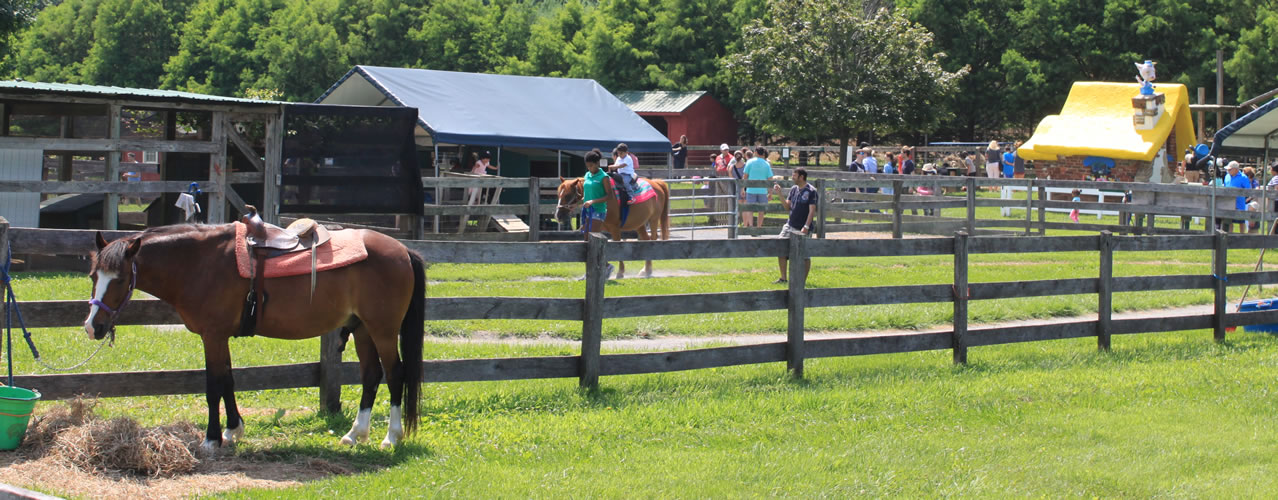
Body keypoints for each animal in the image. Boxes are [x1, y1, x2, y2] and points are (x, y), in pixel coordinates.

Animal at [83, 225, 424, 452]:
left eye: (120, 279)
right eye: (93, 275)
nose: (92, 327)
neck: (199, 262)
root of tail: (402, 250)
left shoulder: (212, 336)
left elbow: (213, 386)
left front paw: (212, 439)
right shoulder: (220, 337)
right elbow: (228, 380)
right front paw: (233, 430)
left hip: (383, 330)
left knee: (395, 374)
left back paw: (391, 437)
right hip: (363, 329)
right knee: (371, 375)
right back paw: (355, 434)